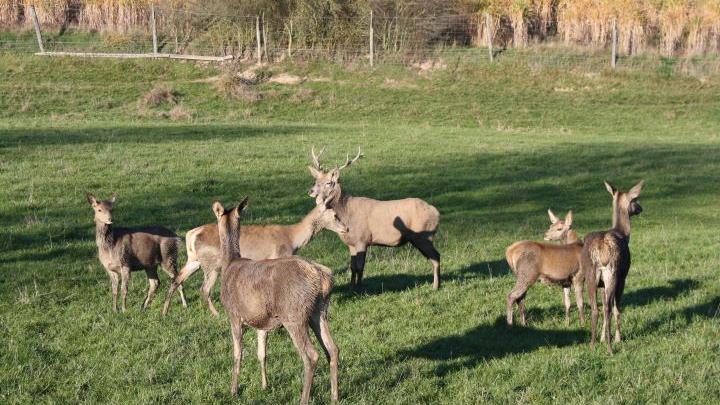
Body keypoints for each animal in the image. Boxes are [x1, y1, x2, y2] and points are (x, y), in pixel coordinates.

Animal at [162, 197, 348, 318]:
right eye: (334, 215)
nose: (346, 228)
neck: (292, 239)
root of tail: (190, 234)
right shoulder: (278, 256)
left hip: (194, 260)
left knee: (177, 279)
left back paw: (166, 311)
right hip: (212, 264)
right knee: (204, 288)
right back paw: (217, 314)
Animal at [214, 197, 340, 402]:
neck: (229, 264)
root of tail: (322, 277)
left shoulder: (234, 313)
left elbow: (237, 353)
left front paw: (233, 390)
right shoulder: (261, 321)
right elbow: (262, 352)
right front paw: (265, 385)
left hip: (294, 314)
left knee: (311, 355)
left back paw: (304, 399)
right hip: (319, 311)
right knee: (333, 348)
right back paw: (335, 396)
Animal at [308, 147, 442, 288]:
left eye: (329, 182)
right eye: (316, 180)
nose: (311, 191)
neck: (346, 215)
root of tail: (436, 212)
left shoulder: (362, 239)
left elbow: (360, 267)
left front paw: (360, 288)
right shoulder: (351, 244)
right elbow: (352, 267)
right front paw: (351, 286)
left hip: (423, 236)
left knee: (436, 257)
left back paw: (435, 286)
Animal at [584, 181, 644, 354]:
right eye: (635, 199)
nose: (641, 208)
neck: (623, 234)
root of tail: (601, 249)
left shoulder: (601, 284)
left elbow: (604, 304)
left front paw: (602, 338)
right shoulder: (623, 277)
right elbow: (617, 308)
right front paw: (618, 338)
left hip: (590, 275)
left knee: (596, 309)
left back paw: (592, 345)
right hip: (613, 273)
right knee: (609, 309)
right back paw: (610, 348)